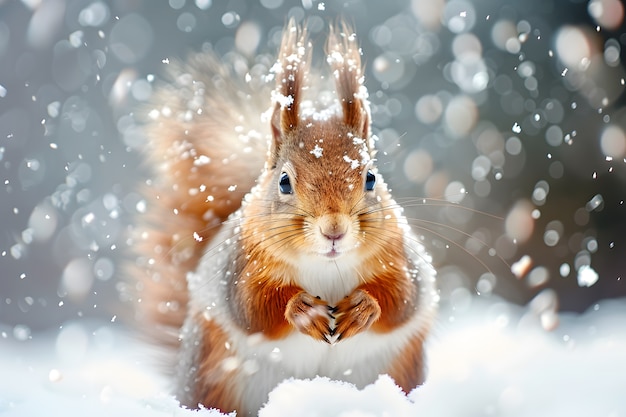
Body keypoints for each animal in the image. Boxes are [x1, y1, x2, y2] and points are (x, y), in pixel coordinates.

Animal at [129, 19, 436, 416]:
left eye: (370, 177)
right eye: (285, 182)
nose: (333, 230)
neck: (327, 267)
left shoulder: (401, 259)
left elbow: (403, 298)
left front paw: (363, 308)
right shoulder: (240, 267)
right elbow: (252, 308)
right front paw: (303, 310)